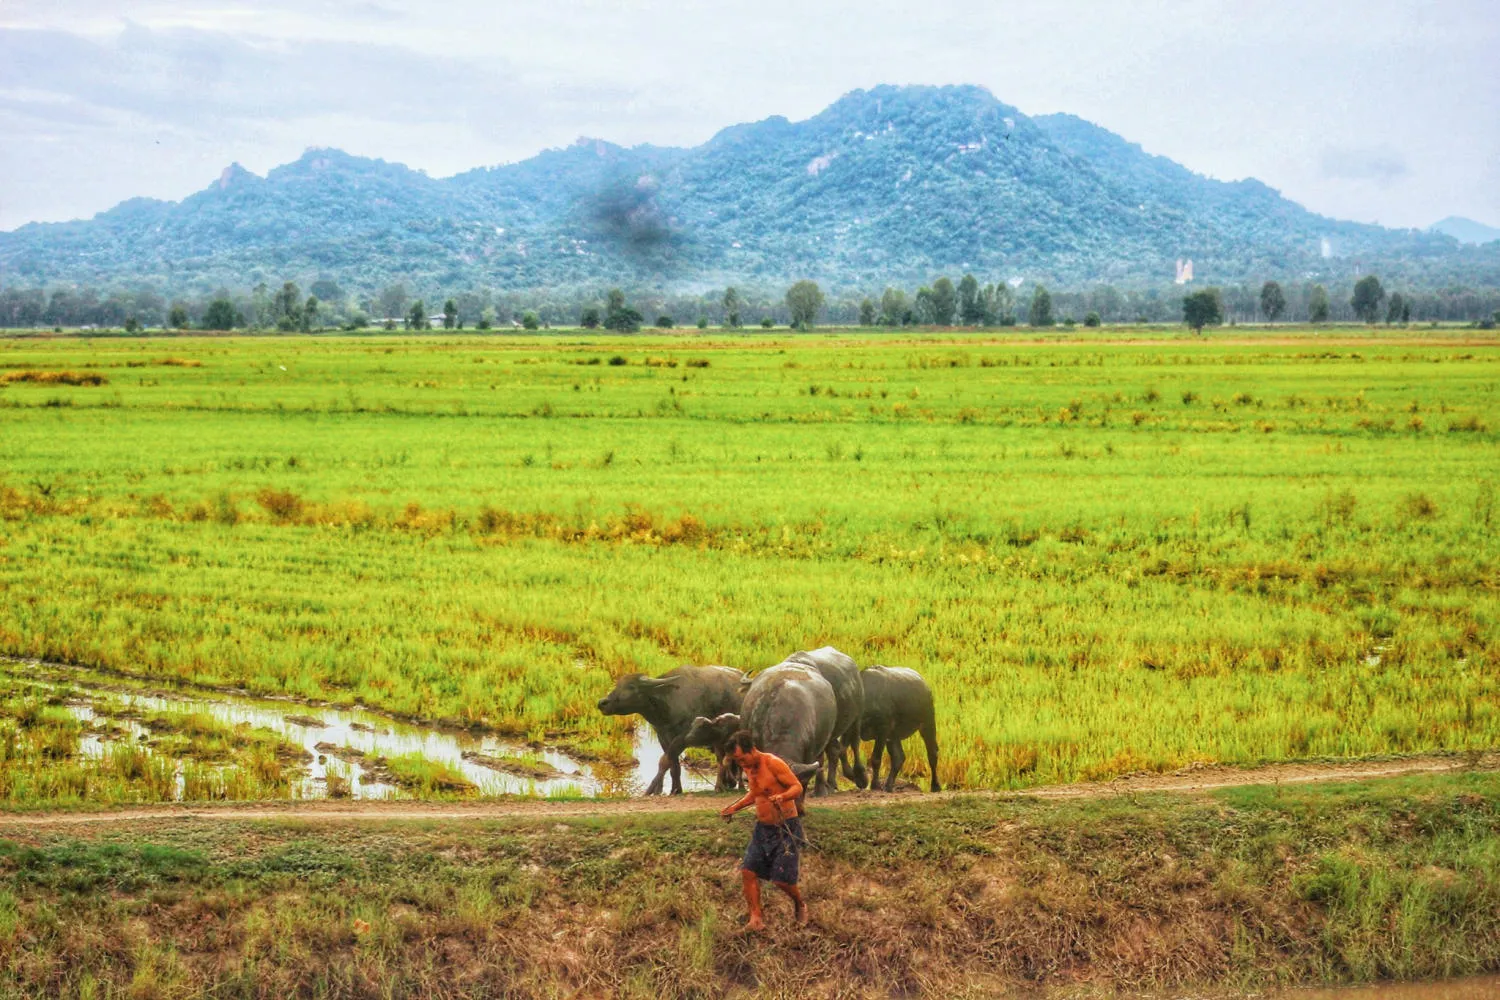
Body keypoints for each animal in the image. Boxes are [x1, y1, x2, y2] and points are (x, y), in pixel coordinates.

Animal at [591, 665, 744, 797]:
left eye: (631, 686)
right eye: (618, 684)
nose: (602, 703)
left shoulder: (683, 736)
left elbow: (664, 761)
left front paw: (651, 790)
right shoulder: (662, 736)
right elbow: (673, 765)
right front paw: (675, 790)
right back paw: (729, 783)